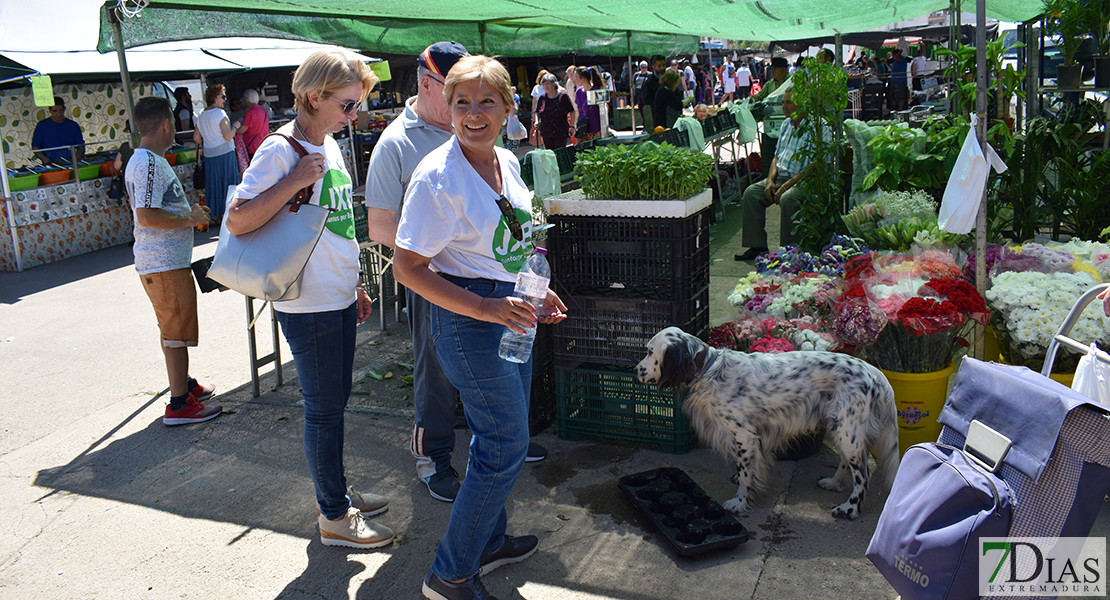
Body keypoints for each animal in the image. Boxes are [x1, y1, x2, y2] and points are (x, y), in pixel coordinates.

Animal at [634, 326, 901, 516]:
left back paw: (850, 508)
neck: (708, 370)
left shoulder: (743, 435)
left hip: (848, 431)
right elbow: (746, 469)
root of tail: (873, 371)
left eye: (649, 351)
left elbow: (744, 473)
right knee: (846, 463)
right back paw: (833, 483)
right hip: (840, 427)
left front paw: (739, 501)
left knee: (864, 474)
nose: (635, 369)